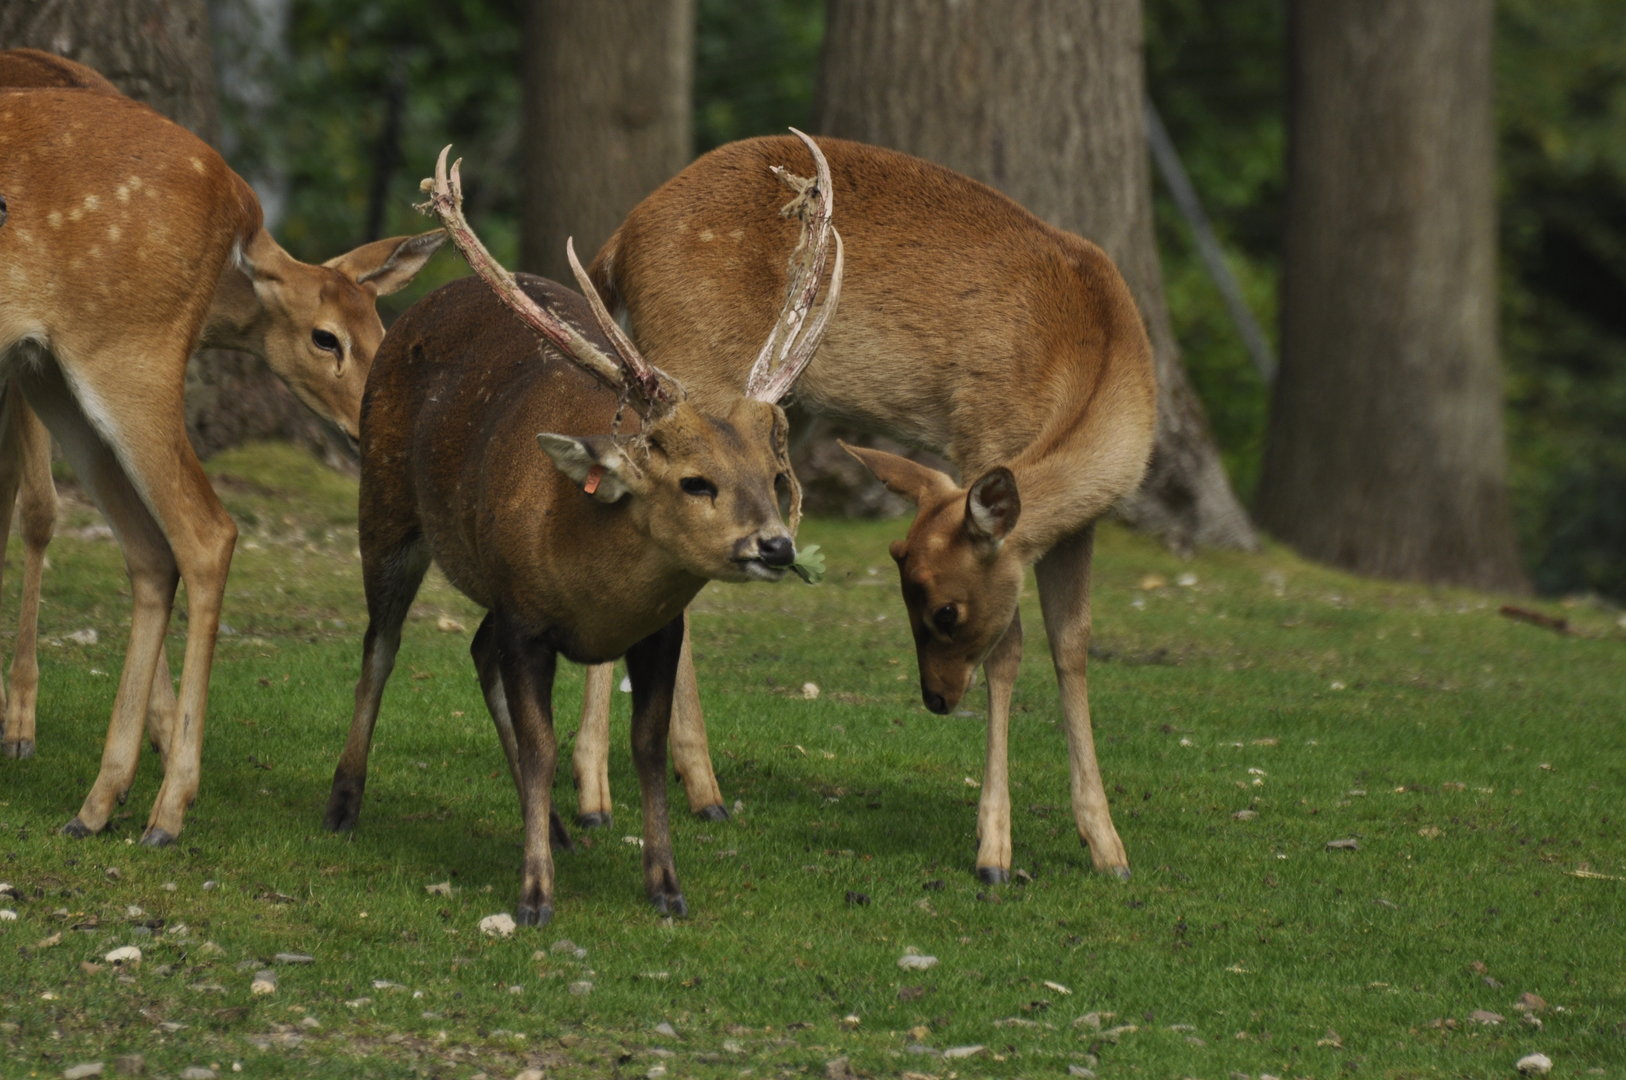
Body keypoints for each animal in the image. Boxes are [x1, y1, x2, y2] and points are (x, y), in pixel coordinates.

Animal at [0, 73, 444, 843]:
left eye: (381, 334)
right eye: (327, 338)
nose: (376, 418)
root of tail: (237, 194)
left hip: (119, 351)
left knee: (203, 531)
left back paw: (164, 808)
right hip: (49, 367)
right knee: (145, 545)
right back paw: (98, 804)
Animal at [320, 136, 842, 925]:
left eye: (771, 475)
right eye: (695, 481)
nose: (774, 546)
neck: (597, 600)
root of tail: (419, 306)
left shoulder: (655, 629)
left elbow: (646, 748)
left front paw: (665, 885)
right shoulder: (525, 618)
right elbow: (542, 749)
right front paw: (534, 896)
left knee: (473, 650)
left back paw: (560, 829)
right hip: (383, 506)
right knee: (380, 646)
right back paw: (344, 805)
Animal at [572, 134, 1157, 885]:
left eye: (939, 606)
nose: (935, 699)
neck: (1098, 359)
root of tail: (621, 239)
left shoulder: (1079, 526)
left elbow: (1073, 646)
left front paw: (1108, 846)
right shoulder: (980, 437)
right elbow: (1010, 651)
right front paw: (994, 853)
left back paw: (690, 793)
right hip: (694, 368)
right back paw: (607, 795)